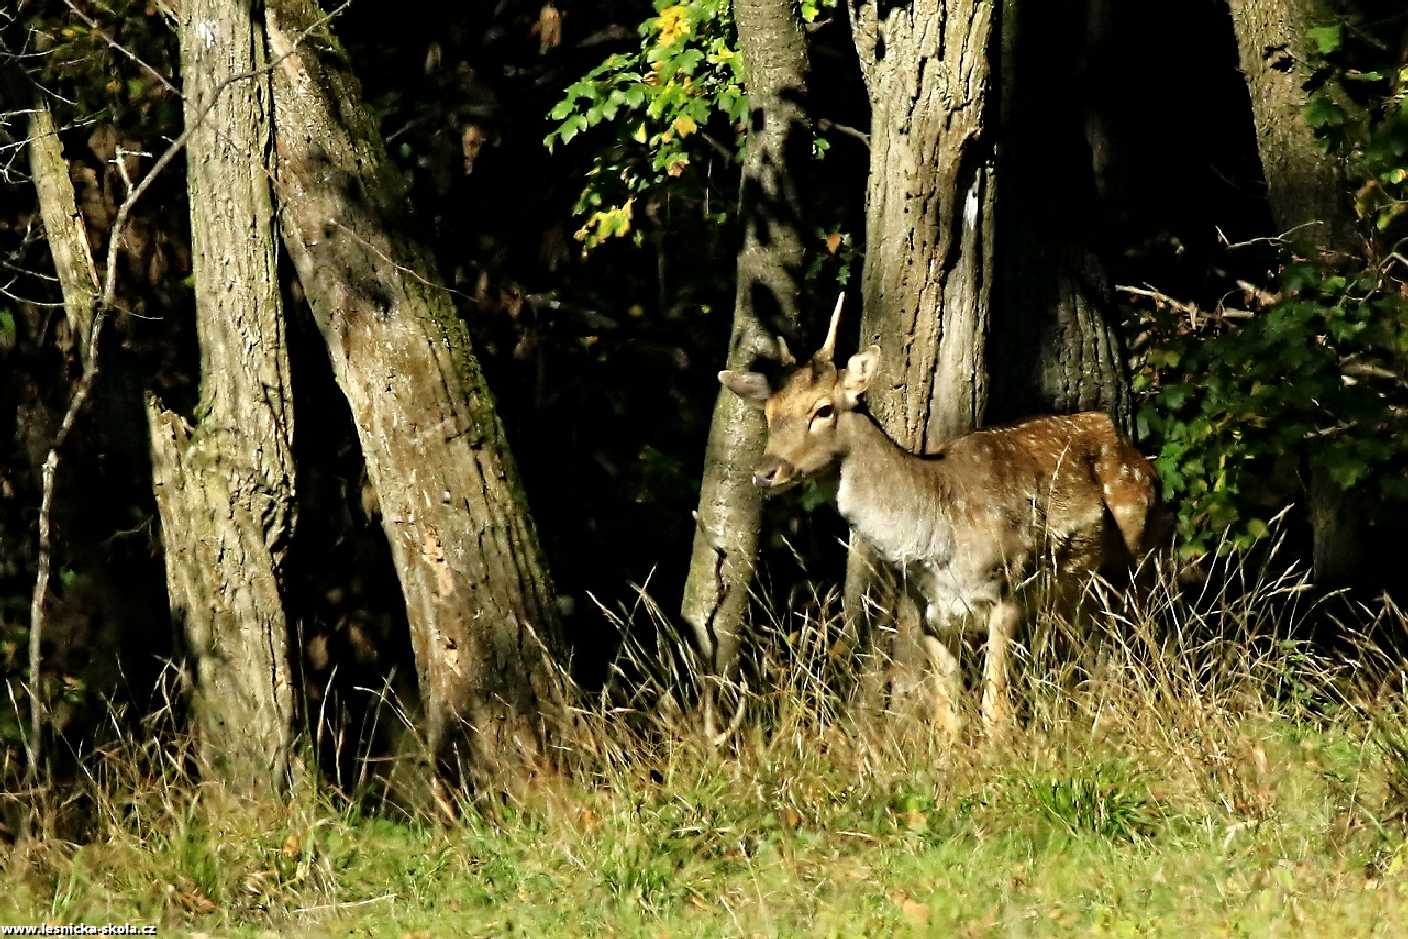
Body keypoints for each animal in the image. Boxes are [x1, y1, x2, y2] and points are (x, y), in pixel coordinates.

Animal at [720, 297, 1160, 737]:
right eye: (769, 413)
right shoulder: (929, 613)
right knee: (1100, 654)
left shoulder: (1009, 588)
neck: (937, 543)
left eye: (824, 410)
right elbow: (948, 717)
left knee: (1146, 640)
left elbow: (995, 711)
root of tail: (1136, 453)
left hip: (1137, 555)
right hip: (1078, 595)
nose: (766, 471)